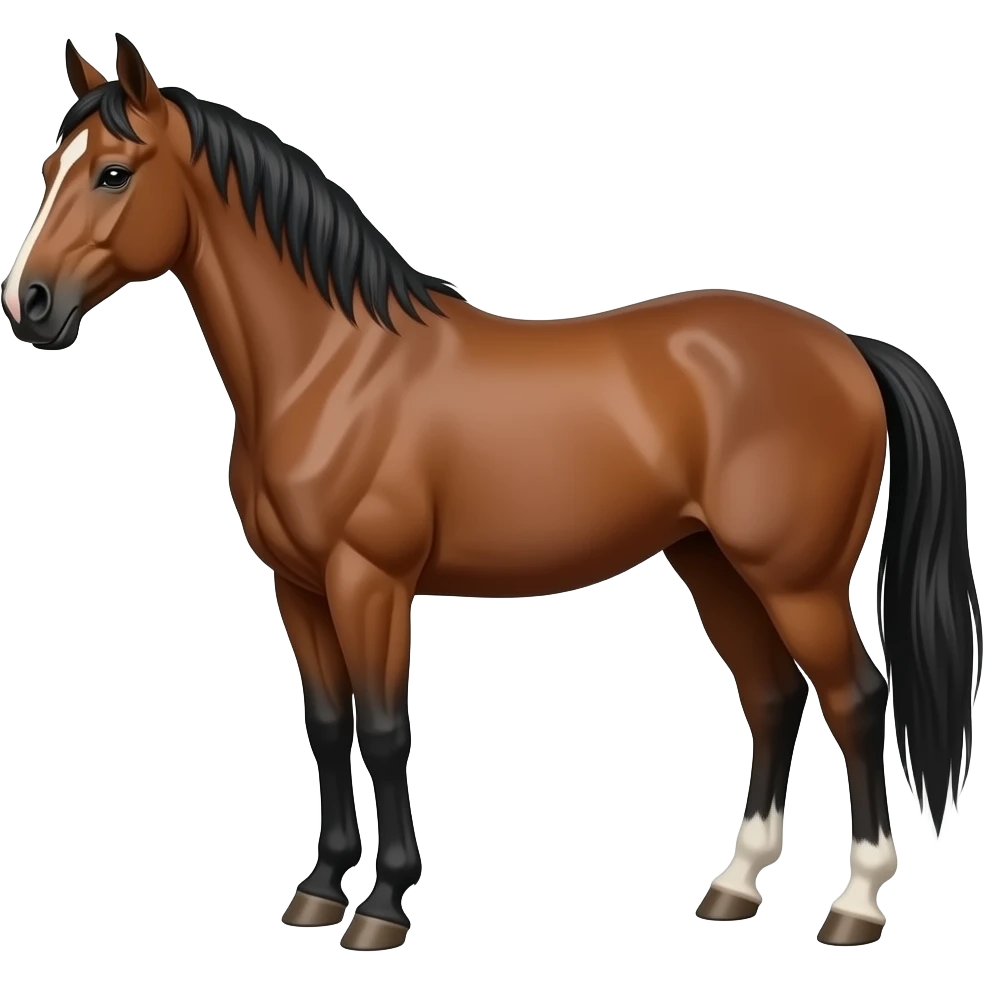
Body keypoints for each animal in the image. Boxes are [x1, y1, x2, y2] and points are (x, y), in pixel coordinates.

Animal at [3, 34, 980, 951]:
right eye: (51, 170)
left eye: (114, 172)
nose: (29, 304)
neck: (331, 367)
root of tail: (847, 346)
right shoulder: (299, 586)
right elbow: (325, 722)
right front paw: (319, 889)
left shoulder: (370, 582)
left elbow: (384, 727)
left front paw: (383, 905)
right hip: (714, 565)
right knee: (772, 696)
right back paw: (734, 888)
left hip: (796, 580)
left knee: (856, 698)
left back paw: (854, 904)